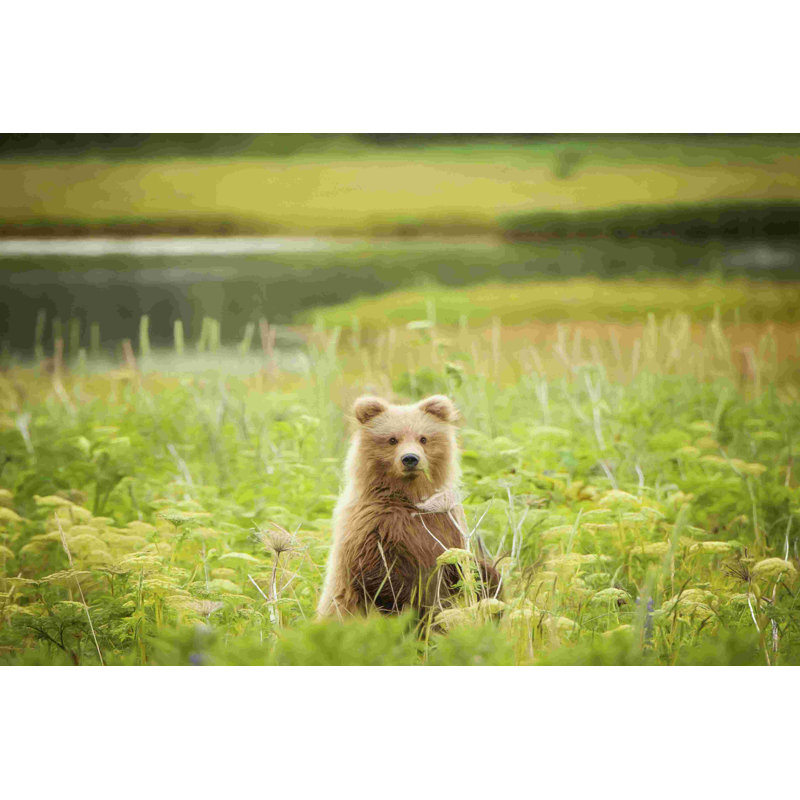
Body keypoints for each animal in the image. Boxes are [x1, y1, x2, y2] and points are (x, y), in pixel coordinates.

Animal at [317, 394, 501, 620]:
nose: (410, 458)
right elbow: (381, 577)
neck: (409, 497)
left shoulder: (445, 521)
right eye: (392, 439)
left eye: (423, 438)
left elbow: (458, 563)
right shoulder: (373, 526)